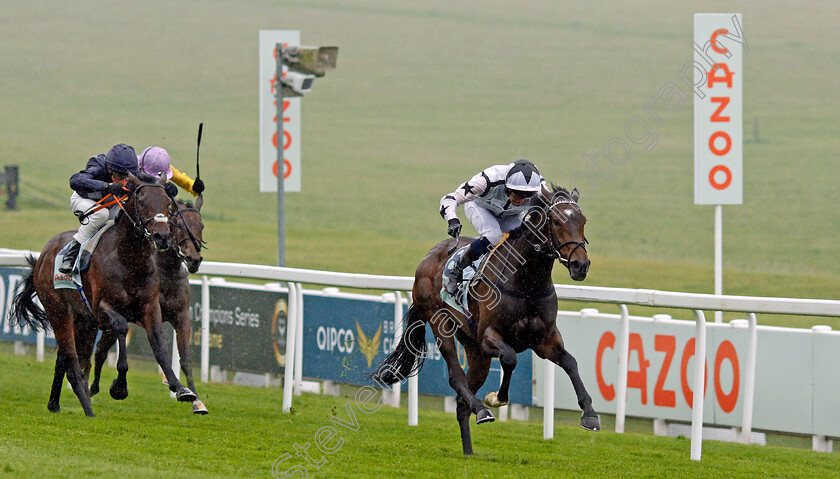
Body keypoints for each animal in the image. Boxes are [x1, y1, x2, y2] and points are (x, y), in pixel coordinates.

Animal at [370, 186, 600, 456]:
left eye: (583, 221)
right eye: (555, 221)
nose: (580, 265)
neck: (526, 283)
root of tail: (427, 258)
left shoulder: (545, 340)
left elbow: (570, 363)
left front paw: (590, 415)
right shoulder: (488, 337)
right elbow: (509, 359)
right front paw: (496, 398)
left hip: (474, 350)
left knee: (461, 403)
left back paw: (469, 451)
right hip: (441, 325)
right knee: (456, 377)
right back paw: (481, 409)